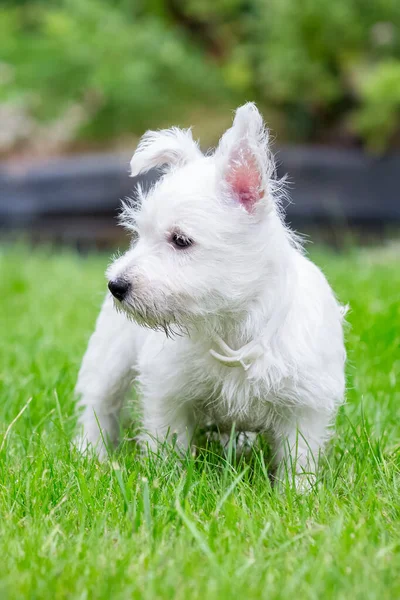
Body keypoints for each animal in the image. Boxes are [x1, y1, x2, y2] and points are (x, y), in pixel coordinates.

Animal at [76, 102, 346, 488]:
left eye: (180, 240)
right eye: (138, 234)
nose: (116, 285)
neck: (232, 325)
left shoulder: (305, 406)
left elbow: (299, 458)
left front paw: (297, 494)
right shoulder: (169, 393)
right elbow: (168, 442)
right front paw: (165, 482)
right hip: (109, 357)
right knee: (99, 405)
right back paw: (90, 454)